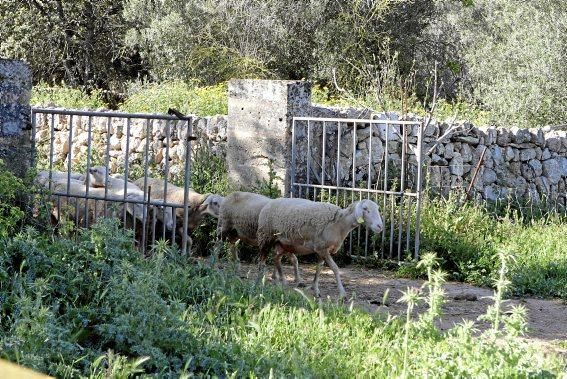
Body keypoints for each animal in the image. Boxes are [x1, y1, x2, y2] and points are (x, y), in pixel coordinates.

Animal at [258, 197, 386, 298]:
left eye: (377, 209)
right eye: (365, 209)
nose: (380, 226)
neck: (340, 223)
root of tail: (269, 203)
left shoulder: (322, 249)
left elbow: (319, 269)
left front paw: (315, 289)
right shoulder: (322, 249)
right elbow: (335, 268)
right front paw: (342, 293)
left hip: (283, 244)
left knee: (276, 259)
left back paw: (281, 281)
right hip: (266, 237)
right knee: (262, 261)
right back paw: (261, 281)